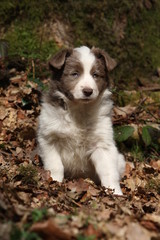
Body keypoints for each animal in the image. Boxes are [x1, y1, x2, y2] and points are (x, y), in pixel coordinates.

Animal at [37, 46, 125, 195]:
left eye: (95, 75)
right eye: (74, 74)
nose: (88, 91)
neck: (80, 109)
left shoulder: (102, 144)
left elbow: (108, 171)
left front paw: (115, 193)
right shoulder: (49, 138)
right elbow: (55, 165)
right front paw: (54, 182)